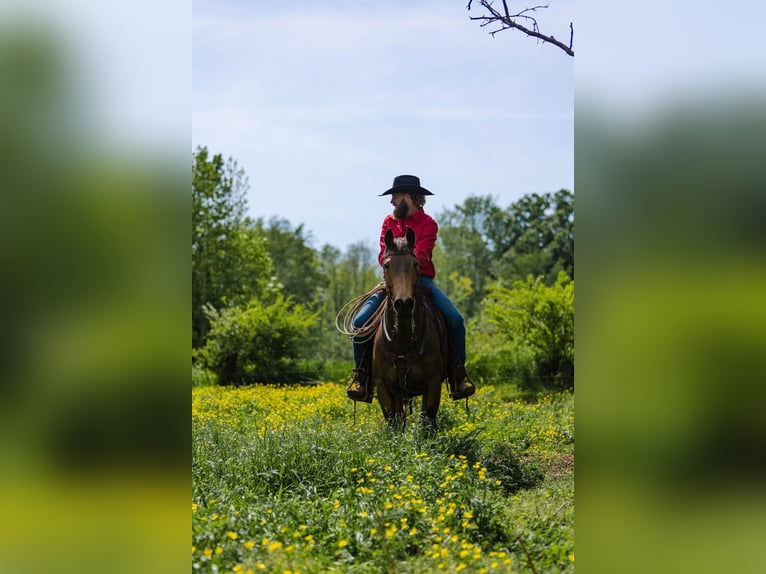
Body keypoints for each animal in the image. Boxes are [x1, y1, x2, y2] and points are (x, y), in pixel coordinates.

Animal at [372, 227, 448, 431]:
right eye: (387, 265)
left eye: (415, 264)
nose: (404, 304)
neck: (403, 339)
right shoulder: (383, 387)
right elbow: (393, 423)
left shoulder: (433, 384)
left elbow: (427, 422)